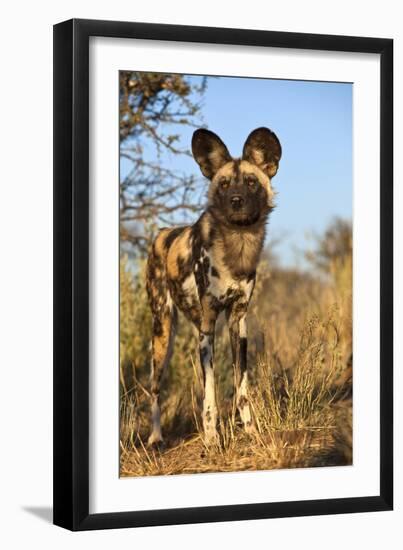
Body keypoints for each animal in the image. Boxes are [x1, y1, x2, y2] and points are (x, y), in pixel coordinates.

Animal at [147, 127, 282, 446]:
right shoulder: (208, 326)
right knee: (155, 387)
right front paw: (211, 438)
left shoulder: (237, 322)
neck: (237, 247)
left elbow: (241, 387)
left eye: (251, 182)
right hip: (163, 332)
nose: (236, 200)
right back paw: (156, 439)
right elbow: (210, 395)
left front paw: (250, 431)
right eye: (223, 184)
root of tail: (162, 233)